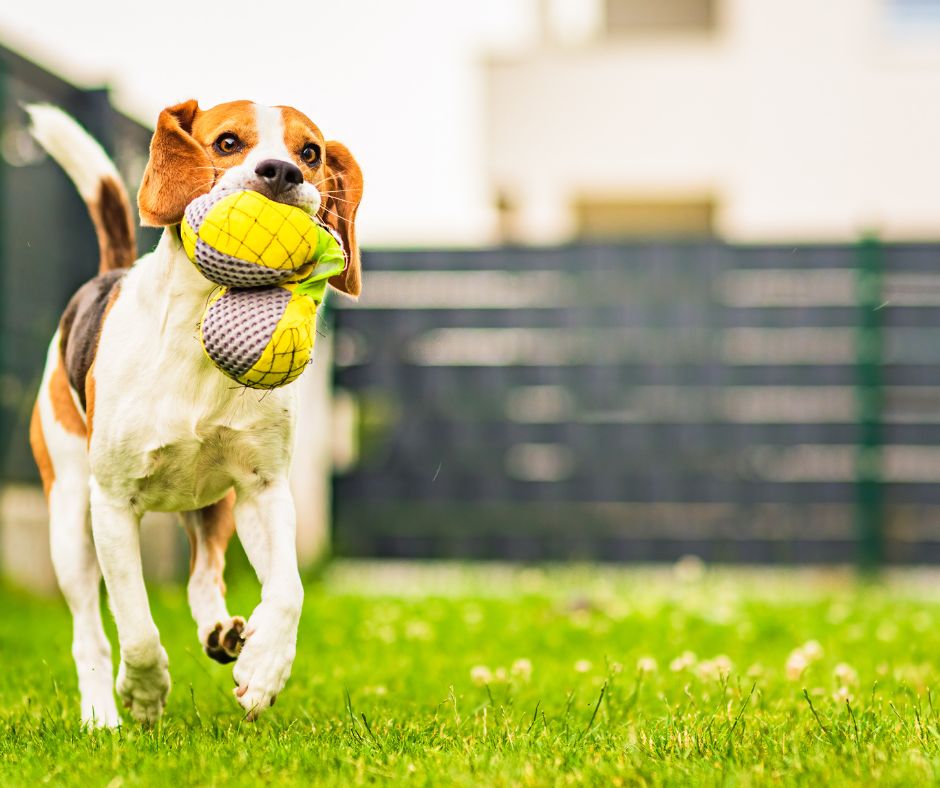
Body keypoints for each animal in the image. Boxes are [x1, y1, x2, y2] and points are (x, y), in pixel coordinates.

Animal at [25, 100, 364, 728]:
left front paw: (265, 667)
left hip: (214, 502)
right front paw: (143, 691)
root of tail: (107, 274)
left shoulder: (263, 488)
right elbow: (135, 626)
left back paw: (223, 633)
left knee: (203, 574)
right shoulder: (112, 504)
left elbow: (289, 591)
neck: (198, 327)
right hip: (69, 514)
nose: (283, 172)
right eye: (227, 142)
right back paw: (101, 715)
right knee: (90, 630)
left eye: (311, 153)